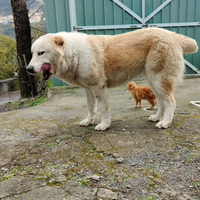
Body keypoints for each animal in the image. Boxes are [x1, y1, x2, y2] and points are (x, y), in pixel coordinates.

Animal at [27, 28, 198, 131]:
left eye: (41, 53)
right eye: (33, 53)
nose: (28, 69)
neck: (74, 53)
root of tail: (174, 35)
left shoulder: (99, 87)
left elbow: (103, 109)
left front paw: (104, 125)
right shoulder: (88, 89)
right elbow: (91, 108)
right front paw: (88, 121)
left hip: (159, 80)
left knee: (170, 103)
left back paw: (165, 122)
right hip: (153, 81)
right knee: (162, 102)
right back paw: (156, 118)